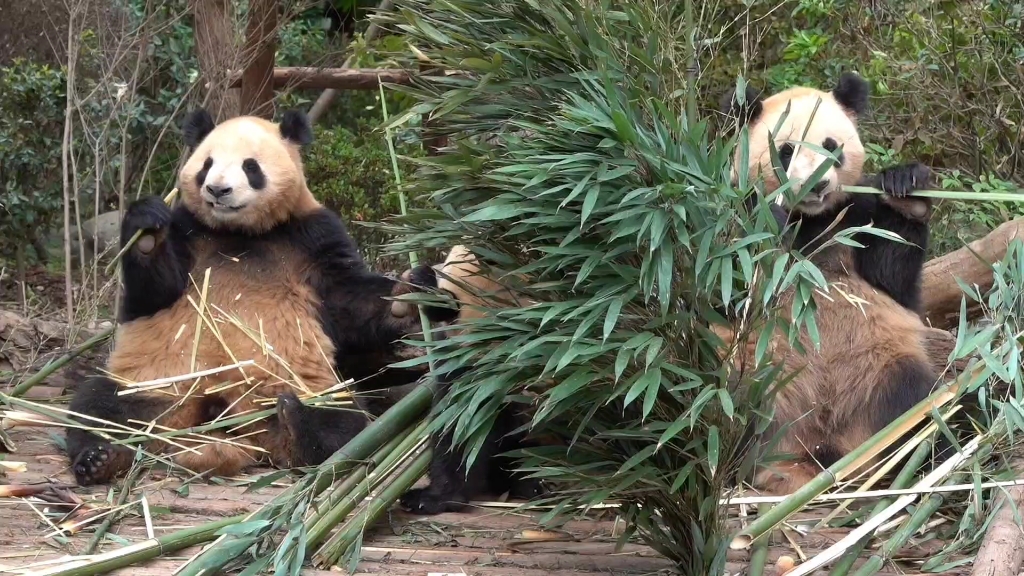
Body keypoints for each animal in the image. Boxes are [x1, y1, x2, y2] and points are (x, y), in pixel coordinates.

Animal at [68, 107, 456, 483]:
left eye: (250, 166)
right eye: (207, 164)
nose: (218, 190)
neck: (241, 233)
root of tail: (222, 420)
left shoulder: (312, 235)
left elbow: (348, 301)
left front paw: (410, 294)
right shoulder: (188, 229)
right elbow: (154, 294)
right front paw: (147, 233)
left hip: (302, 388)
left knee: (342, 421)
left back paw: (299, 429)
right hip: (158, 384)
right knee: (100, 405)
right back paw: (100, 459)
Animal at [716, 72, 946, 494]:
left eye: (830, 146)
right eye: (785, 151)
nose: (816, 186)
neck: (811, 218)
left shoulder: (856, 216)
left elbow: (892, 278)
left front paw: (906, 187)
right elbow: (725, 290)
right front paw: (768, 220)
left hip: (880, 368)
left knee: (918, 405)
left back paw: (910, 463)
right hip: (754, 373)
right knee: (724, 410)